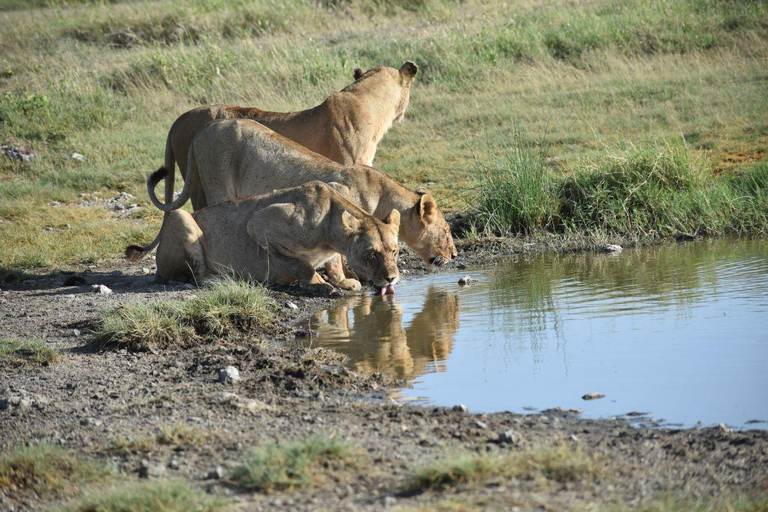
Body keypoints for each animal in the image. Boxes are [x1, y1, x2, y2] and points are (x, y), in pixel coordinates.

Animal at [153, 180, 400, 294]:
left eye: (394, 251)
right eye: (372, 254)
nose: (391, 279)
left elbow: (335, 263)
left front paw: (342, 281)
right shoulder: (259, 223)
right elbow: (301, 264)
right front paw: (319, 284)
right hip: (179, 215)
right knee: (198, 276)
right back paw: (220, 279)